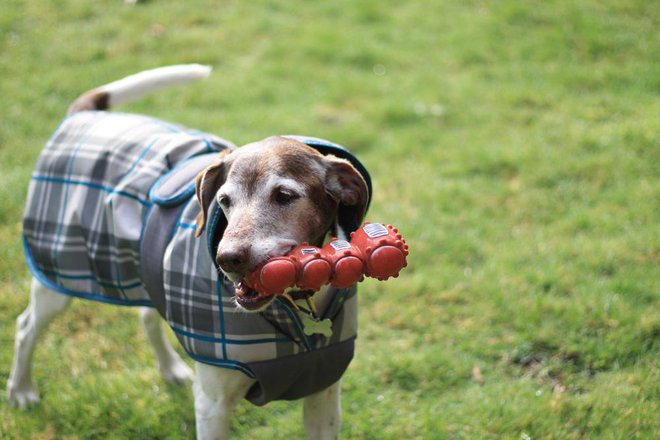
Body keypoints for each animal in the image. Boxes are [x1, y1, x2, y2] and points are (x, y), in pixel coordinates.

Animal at [7, 63, 372, 438]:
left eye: (284, 196)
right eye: (224, 201)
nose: (227, 259)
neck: (299, 310)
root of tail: (83, 116)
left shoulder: (323, 393)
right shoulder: (212, 405)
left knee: (146, 315)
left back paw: (170, 369)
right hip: (57, 277)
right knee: (25, 327)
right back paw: (21, 391)